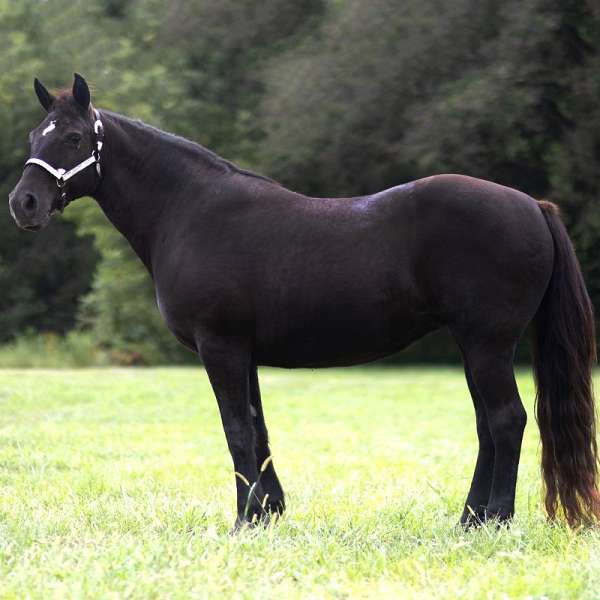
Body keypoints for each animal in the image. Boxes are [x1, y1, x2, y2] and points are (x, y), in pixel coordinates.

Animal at [8, 76, 600, 528]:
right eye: (37, 134)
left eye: (75, 137)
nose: (24, 204)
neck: (190, 211)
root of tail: (532, 204)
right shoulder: (242, 351)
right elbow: (256, 426)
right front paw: (267, 511)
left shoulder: (219, 347)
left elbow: (236, 429)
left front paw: (244, 520)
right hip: (474, 346)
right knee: (487, 425)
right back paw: (471, 518)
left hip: (487, 344)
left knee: (506, 420)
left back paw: (494, 518)